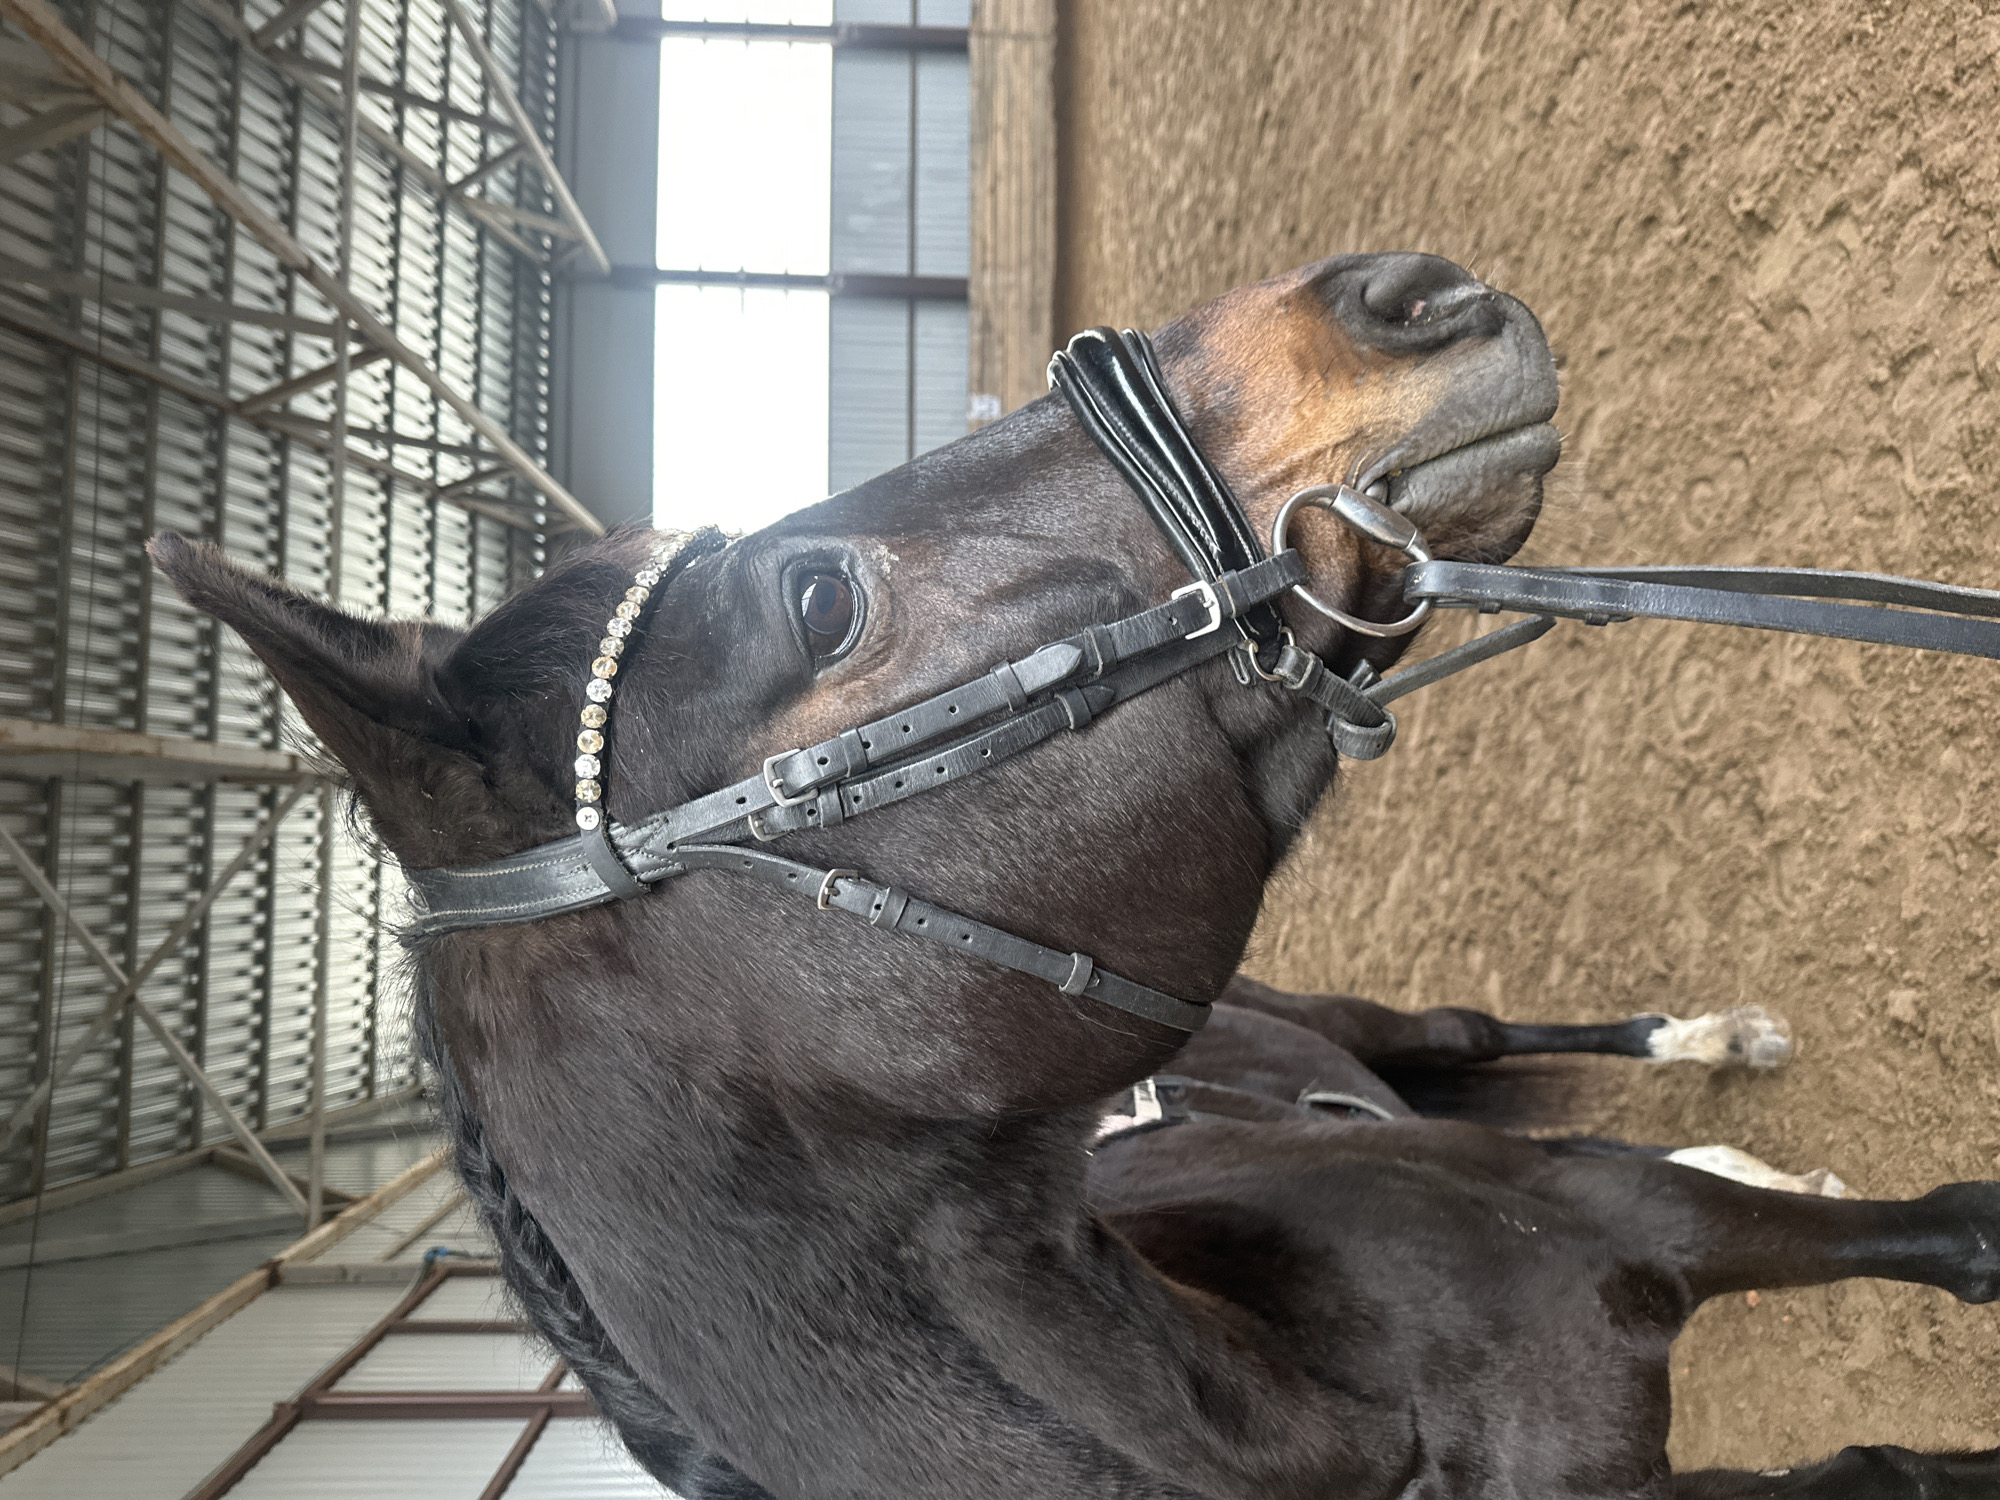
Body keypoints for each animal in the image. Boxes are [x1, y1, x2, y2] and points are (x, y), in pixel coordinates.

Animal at [150, 252, 2000, 1499]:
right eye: (821, 605)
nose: (1402, 293)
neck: (1329, 1414)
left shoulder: (1633, 1226)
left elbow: (1934, 1239)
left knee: (1488, 1043)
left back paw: (1715, 1048)